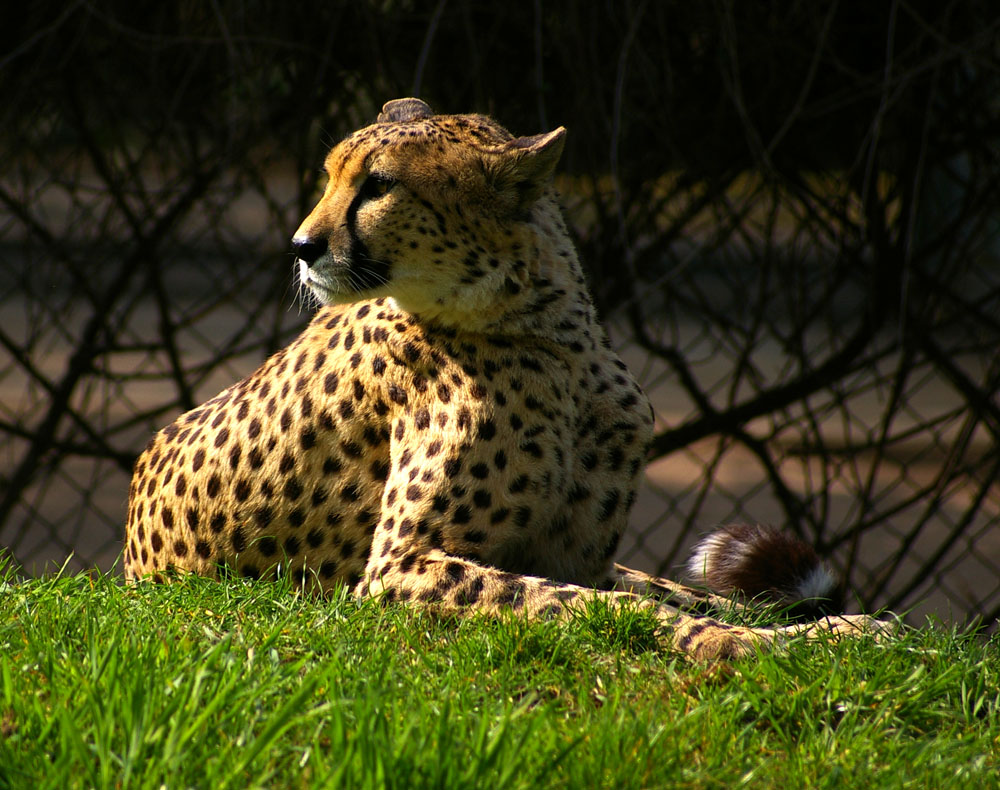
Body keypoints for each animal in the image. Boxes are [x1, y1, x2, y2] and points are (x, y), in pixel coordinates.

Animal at [125, 97, 884, 664]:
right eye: (333, 175)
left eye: (379, 185)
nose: (302, 247)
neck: (550, 334)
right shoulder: (397, 567)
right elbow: (602, 606)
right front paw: (741, 647)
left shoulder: (579, 553)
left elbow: (677, 594)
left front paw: (841, 631)